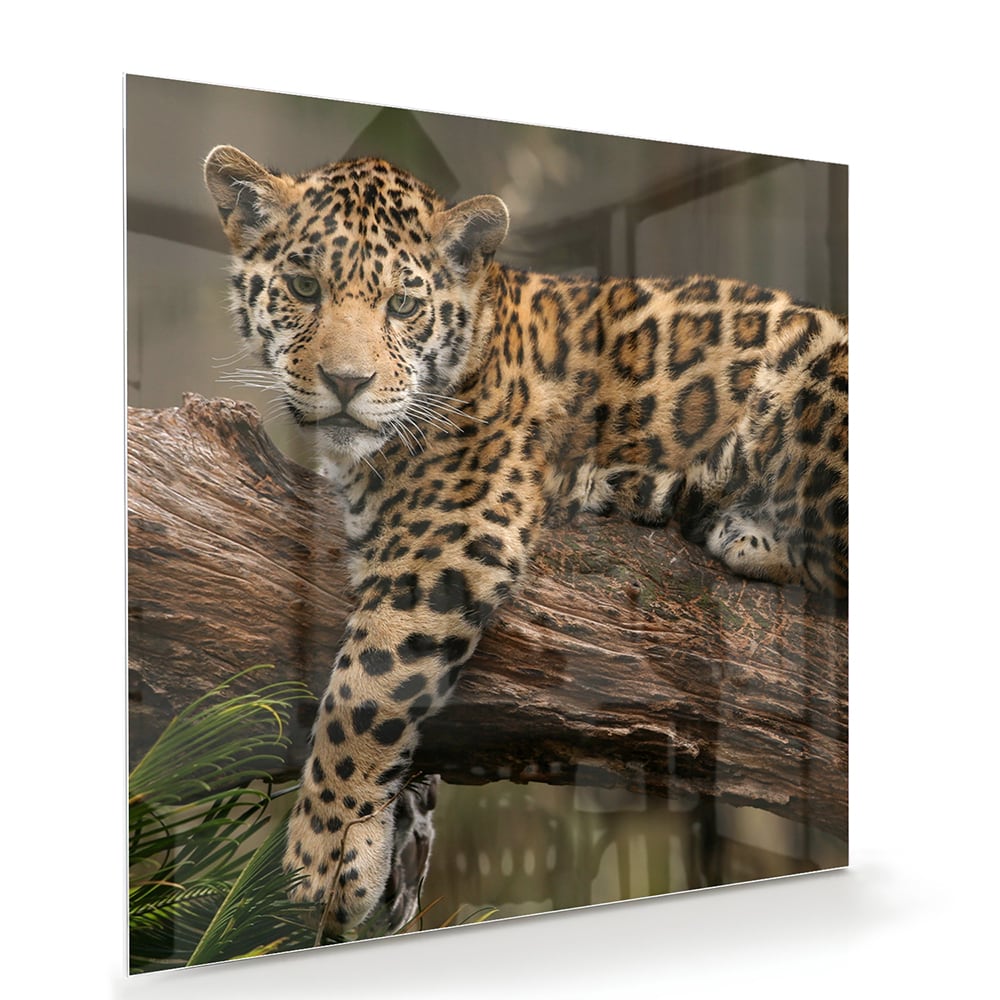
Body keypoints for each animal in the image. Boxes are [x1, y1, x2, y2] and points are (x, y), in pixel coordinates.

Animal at [204, 144, 848, 934]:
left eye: (402, 306)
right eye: (303, 287)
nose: (345, 382)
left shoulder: (450, 537)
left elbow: (365, 689)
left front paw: (326, 852)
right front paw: (394, 840)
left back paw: (729, 518)